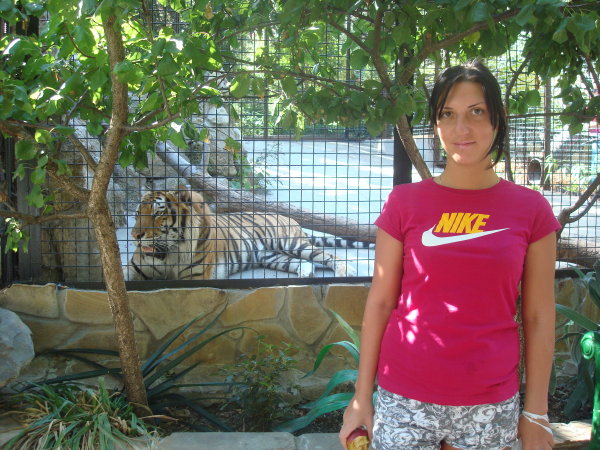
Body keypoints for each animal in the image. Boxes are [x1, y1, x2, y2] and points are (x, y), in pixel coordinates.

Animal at [124, 188, 372, 281]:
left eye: (158, 213)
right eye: (137, 214)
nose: (135, 236)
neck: (167, 253)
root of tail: (290, 218)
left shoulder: (194, 277)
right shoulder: (134, 270)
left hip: (291, 243)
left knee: (330, 256)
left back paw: (346, 272)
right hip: (272, 256)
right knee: (304, 263)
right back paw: (305, 275)